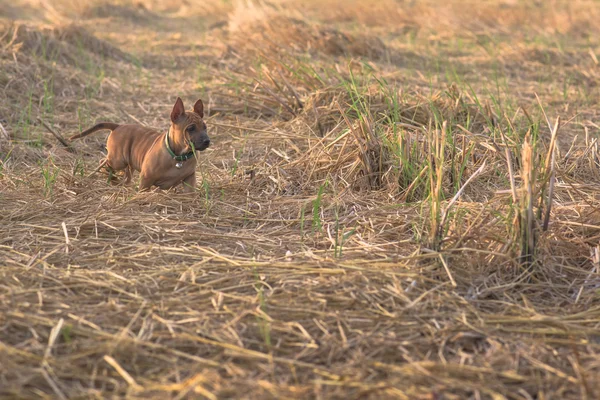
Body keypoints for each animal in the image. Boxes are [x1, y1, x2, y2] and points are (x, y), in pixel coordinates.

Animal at [71, 96, 209, 191]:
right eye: (191, 129)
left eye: (205, 127)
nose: (207, 141)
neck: (179, 156)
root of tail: (118, 126)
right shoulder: (146, 178)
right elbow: (142, 191)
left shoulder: (189, 178)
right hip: (118, 160)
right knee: (104, 162)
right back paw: (112, 178)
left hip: (128, 162)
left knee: (126, 174)